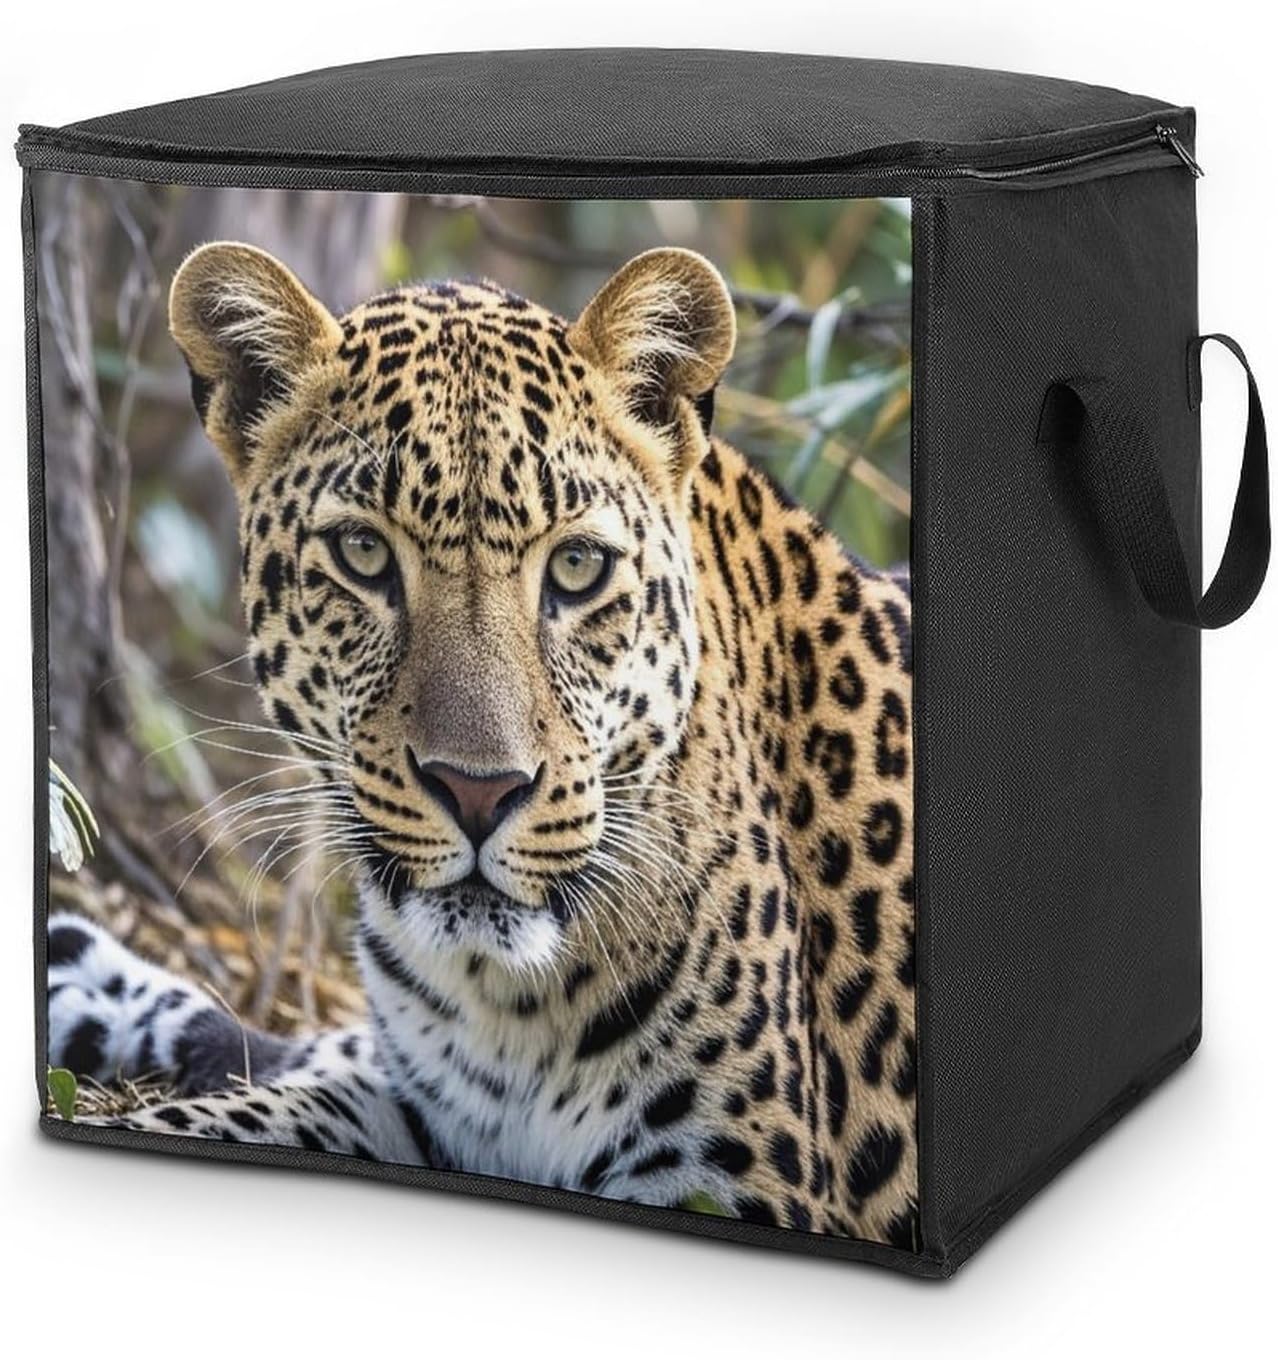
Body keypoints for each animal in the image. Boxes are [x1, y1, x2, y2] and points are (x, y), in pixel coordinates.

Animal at [47, 239, 917, 1247]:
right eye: (363, 555)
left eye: (577, 567)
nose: (478, 792)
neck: (506, 1006)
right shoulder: (416, 1109)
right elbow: (261, 1109)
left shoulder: (737, 1180)